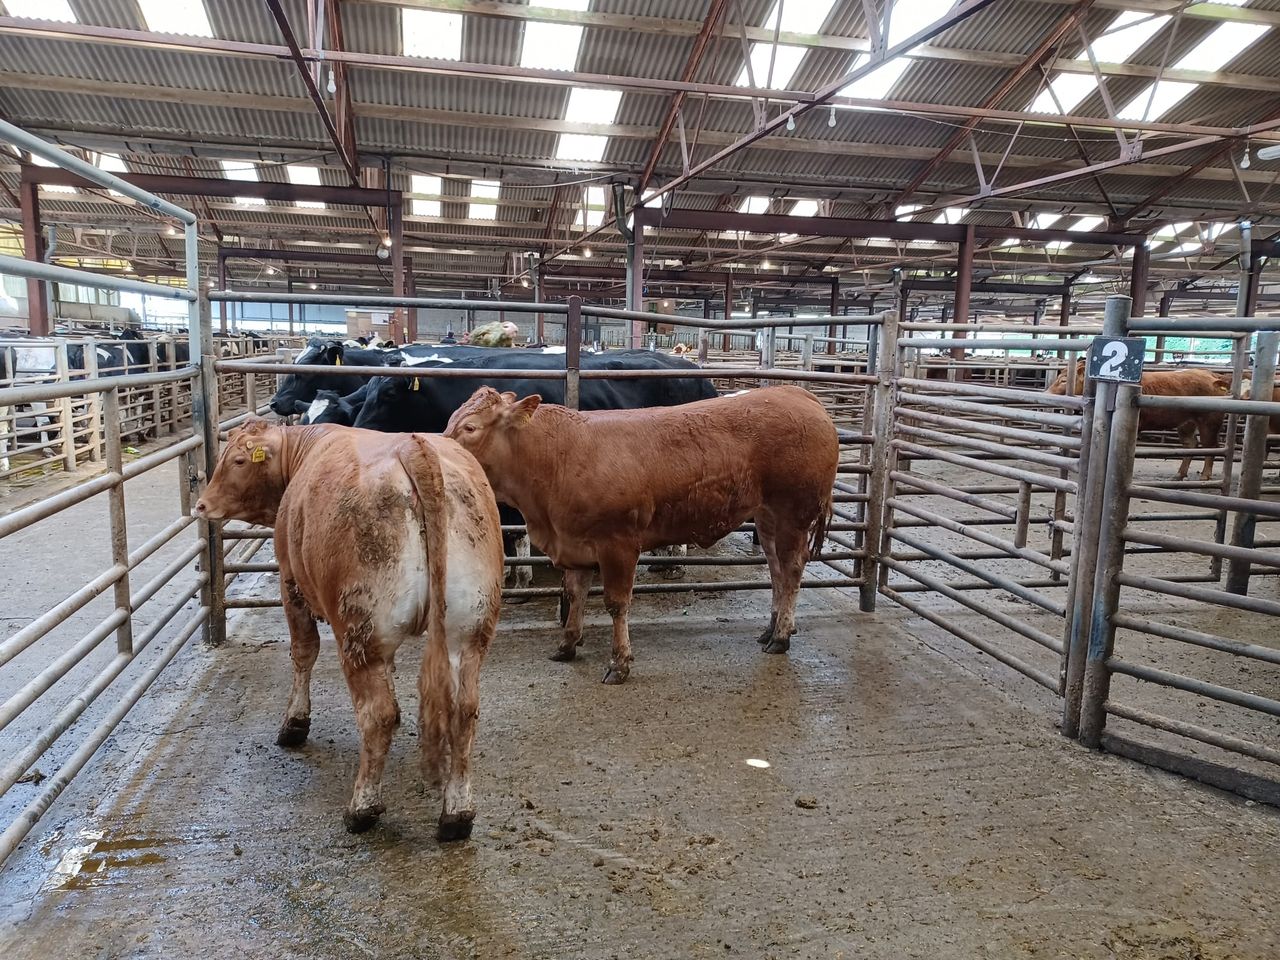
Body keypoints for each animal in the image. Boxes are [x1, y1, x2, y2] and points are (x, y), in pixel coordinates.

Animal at [194, 419, 503, 840]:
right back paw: (456, 814)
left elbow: (303, 652)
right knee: (464, 710)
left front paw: (294, 723)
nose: (201, 505)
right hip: (467, 629)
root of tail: (412, 446)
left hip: (360, 629)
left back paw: (362, 808)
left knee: (377, 714)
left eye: (238, 460)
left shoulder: (290, 582)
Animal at [444, 386, 839, 684]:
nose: (438, 452)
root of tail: (795, 392)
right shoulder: (574, 543)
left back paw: (782, 636)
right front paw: (567, 645)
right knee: (776, 571)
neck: (557, 457)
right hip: (767, 517)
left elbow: (616, 605)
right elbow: (575, 594)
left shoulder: (617, 545)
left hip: (792, 515)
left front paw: (619, 663)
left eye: (470, 428)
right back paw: (770, 629)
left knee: (791, 571)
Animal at [1049, 359, 1228, 480]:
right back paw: (1179, 474)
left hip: (1209, 421)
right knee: (1191, 444)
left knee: (1211, 446)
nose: (1047, 392)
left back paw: (1205, 475)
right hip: (1186, 423)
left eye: (1063, 380)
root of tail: (1211, 375)